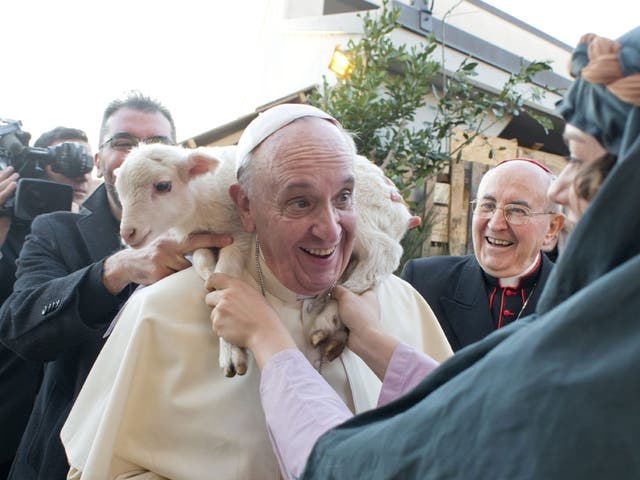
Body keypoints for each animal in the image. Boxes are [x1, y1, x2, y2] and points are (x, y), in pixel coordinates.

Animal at [114, 144, 416, 374]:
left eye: (163, 185)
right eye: (119, 193)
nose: (128, 233)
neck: (200, 201)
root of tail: (398, 206)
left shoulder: (239, 232)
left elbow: (225, 271)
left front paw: (229, 351)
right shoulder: (198, 237)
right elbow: (203, 264)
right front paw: (208, 277)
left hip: (362, 217)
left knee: (384, 253)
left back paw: (335, 307)